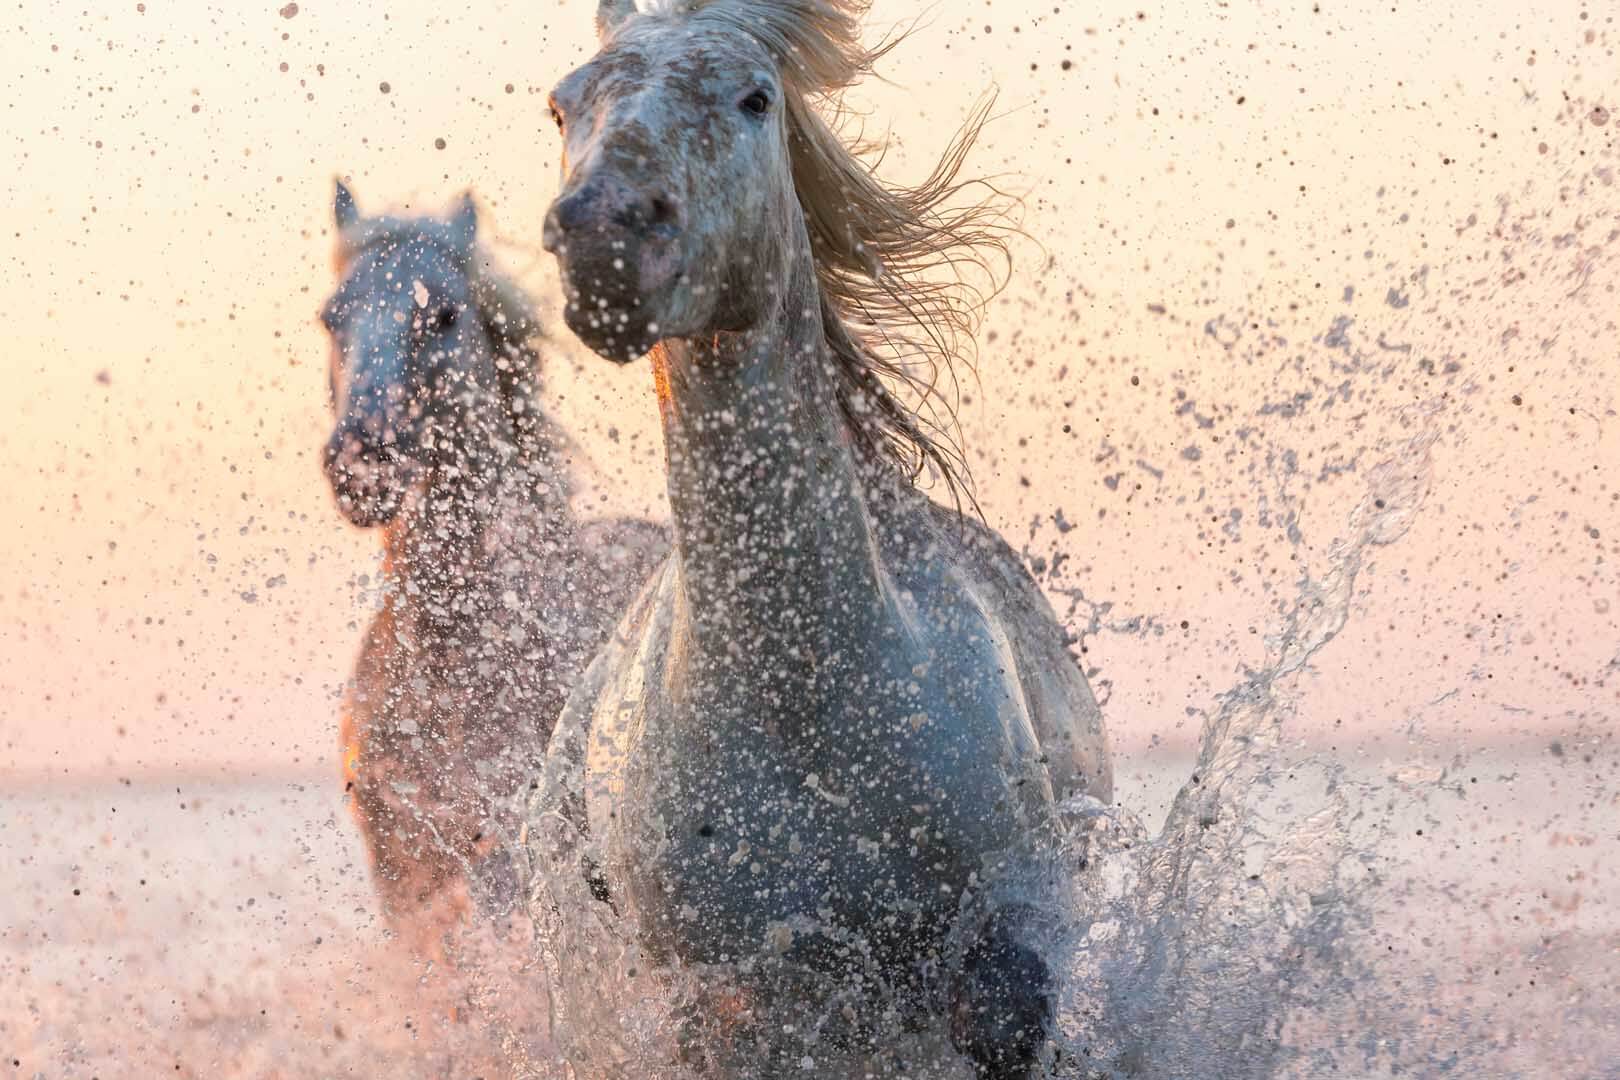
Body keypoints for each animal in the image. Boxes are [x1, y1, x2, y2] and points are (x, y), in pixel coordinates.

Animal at [520, 2, 1112, 1076]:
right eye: (561, 103)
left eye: (756, 98)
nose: (605, 241)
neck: (810, 695)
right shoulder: (739, 997)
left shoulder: (1013, 913)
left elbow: (1004, 1011)